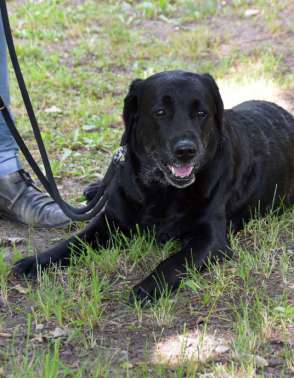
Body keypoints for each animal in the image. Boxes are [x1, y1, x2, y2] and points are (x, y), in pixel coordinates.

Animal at [13, 70, 294, 302]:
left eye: (201, 113)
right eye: (160, 112)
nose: (186, 151)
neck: (160, 189)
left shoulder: (211, 239)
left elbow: (174, 262)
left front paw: (148, 286)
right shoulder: (110, 221)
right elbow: (73, 242)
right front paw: (35, 261)